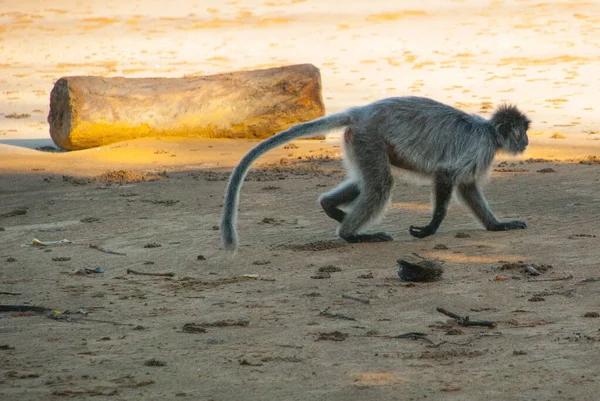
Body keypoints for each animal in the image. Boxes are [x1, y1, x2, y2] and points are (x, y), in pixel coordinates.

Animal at [220, 96, 528, 250]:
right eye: (522, 131)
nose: (526, 140)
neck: (488, 132)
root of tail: (361, 112)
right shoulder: (480, 148)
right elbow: (447, 176)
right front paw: (430, 228)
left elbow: (466, 186)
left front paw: (497, 226)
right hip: (368, 136)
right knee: (380, 184)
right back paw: (350, 234)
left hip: (358, 140)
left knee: (366, 181)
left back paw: (331, 207)